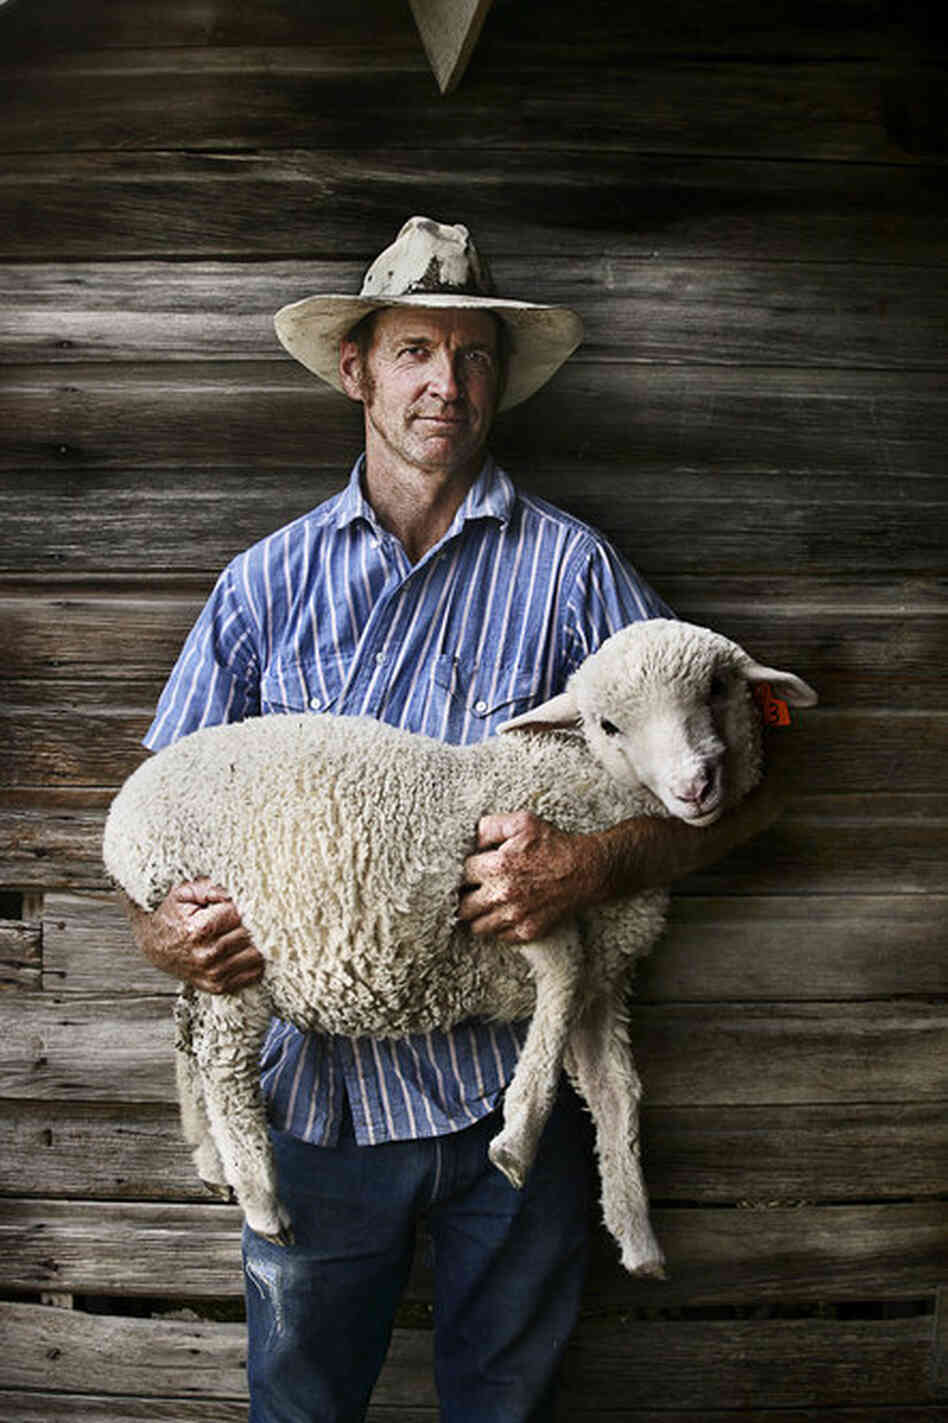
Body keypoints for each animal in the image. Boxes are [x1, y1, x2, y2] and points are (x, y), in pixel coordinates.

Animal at [104, 619, 816, 1276]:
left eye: (718, 688)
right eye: (609, 725)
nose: (695, 788)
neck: (587, 784)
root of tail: (125, 816)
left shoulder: (605, 980)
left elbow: (615, 1090)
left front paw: (636, 1236)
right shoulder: (519, 900)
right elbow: (562, 979)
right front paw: (517, 1138)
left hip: (204, 943)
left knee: (187, 1030)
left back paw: (209, 1157)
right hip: (231, 930)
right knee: (221, 1058)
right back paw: (260, 1197)